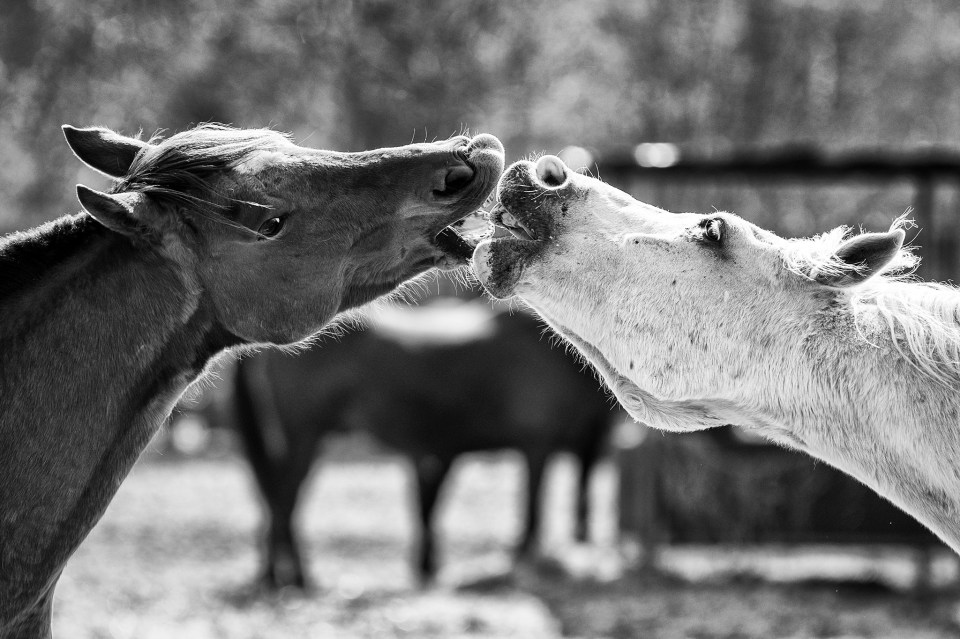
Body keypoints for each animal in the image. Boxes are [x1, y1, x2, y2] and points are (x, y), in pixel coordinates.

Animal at [232, 302, 624, 592]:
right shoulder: (537, 445)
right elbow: (533, 510)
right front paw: (524, 556)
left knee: (276, 499)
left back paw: (274, 576)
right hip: (304, 437)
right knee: (283, 500)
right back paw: (298, 578)